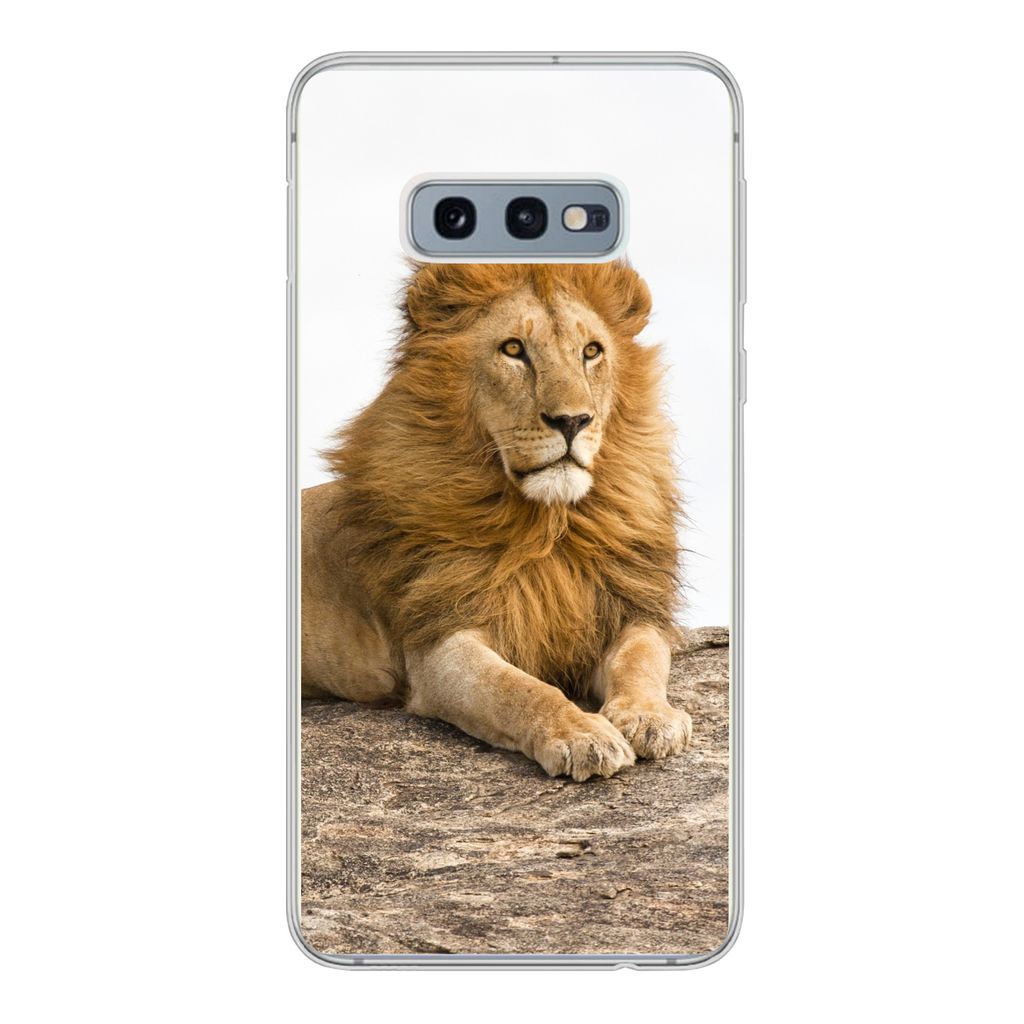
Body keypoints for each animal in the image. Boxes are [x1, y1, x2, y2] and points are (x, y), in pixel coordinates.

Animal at [301, 261, 692, 781]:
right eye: (513, 350)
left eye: (591, 351)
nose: (573, 421)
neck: (549, 526)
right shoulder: (440, 644)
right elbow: (520, 690)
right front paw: (581, 735)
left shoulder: (625, 611)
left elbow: (642, 658)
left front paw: (649, 717)